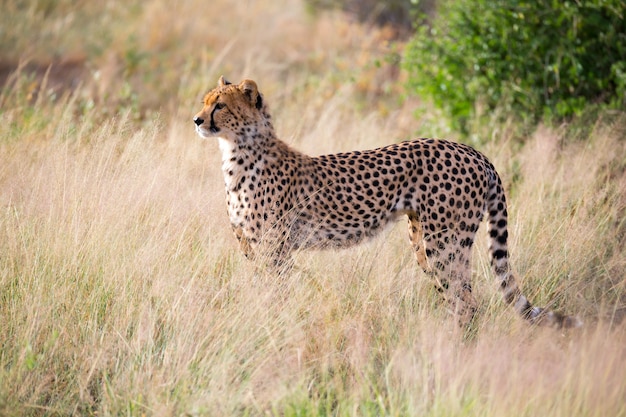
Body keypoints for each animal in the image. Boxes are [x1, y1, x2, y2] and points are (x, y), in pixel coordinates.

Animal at [193, 76, 576, 326]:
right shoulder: (251, 245)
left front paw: (273, 324)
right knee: (457, 297)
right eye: (204, 101)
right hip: (423, 242)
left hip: (444, 242)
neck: (236, 152)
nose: (196, 119)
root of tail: (472, 150)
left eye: (220, 105)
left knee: (466, 302)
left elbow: (275, 292)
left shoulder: (275, 246)